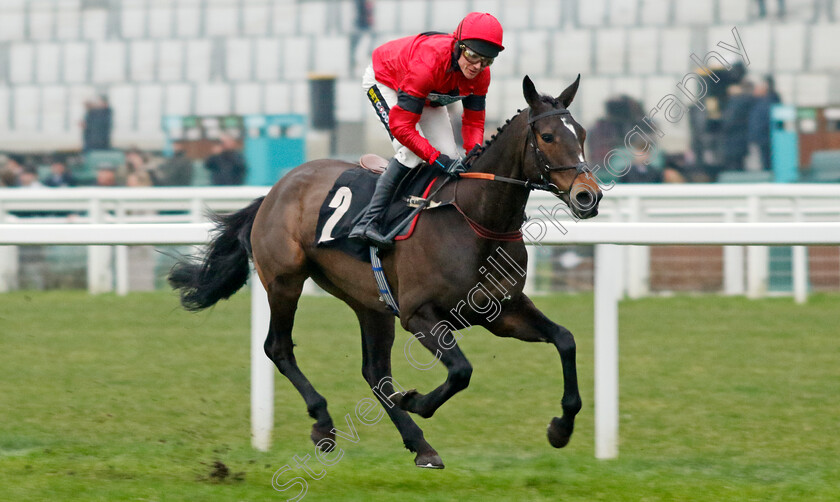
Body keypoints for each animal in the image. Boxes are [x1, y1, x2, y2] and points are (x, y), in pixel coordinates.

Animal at [171, 76, 600, 468]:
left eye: (581, 133)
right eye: (547, 136)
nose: (588, 196)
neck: (474, 219)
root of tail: (275, 189)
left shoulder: (501, 310)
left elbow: (565, 340)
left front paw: (561, 428)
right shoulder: (419, 315)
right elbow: (461, 371)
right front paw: (416, 401)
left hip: (371, 304)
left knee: (375, 372)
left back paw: (420, 445)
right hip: (284, 281)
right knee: (278, 347)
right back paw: (324, 422)